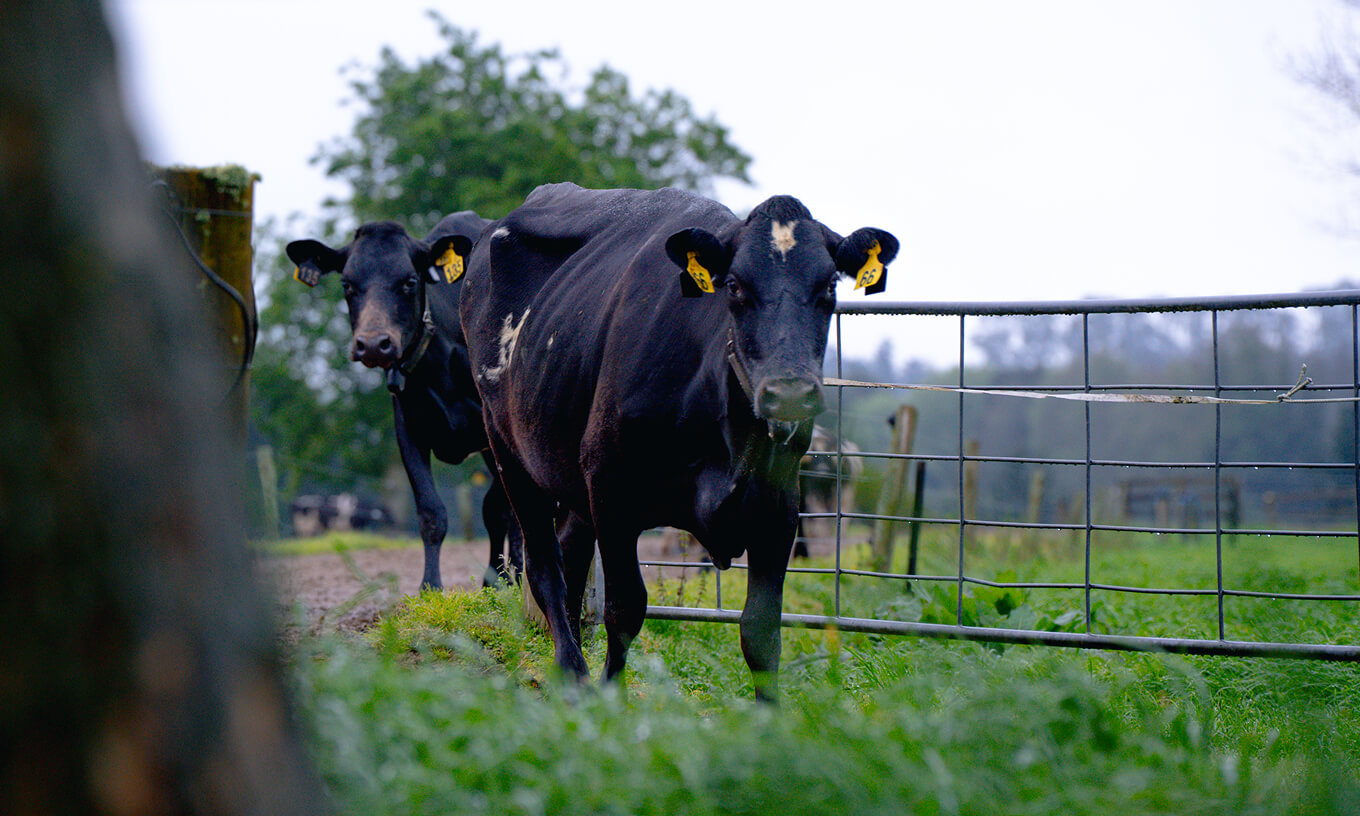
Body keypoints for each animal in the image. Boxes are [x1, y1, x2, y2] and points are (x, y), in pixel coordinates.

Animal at [286, 212, 522, 590]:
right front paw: (430, 587)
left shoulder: (494, 430)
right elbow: (431, 512)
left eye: (410, 281)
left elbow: (498, 507)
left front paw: (503, 582)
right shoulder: (408, 428)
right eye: (347, 284)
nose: (373, 344)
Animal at [460, 183, 896, 700]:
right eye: (735, 286)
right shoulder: (611, 490)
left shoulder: (779, 508)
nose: (789, 391)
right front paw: (611, 699)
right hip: (510, 454)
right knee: (546, 568)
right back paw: (574, 673)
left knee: (570, 557)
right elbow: (625, 608)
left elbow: (762, 629)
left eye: (829, 286)